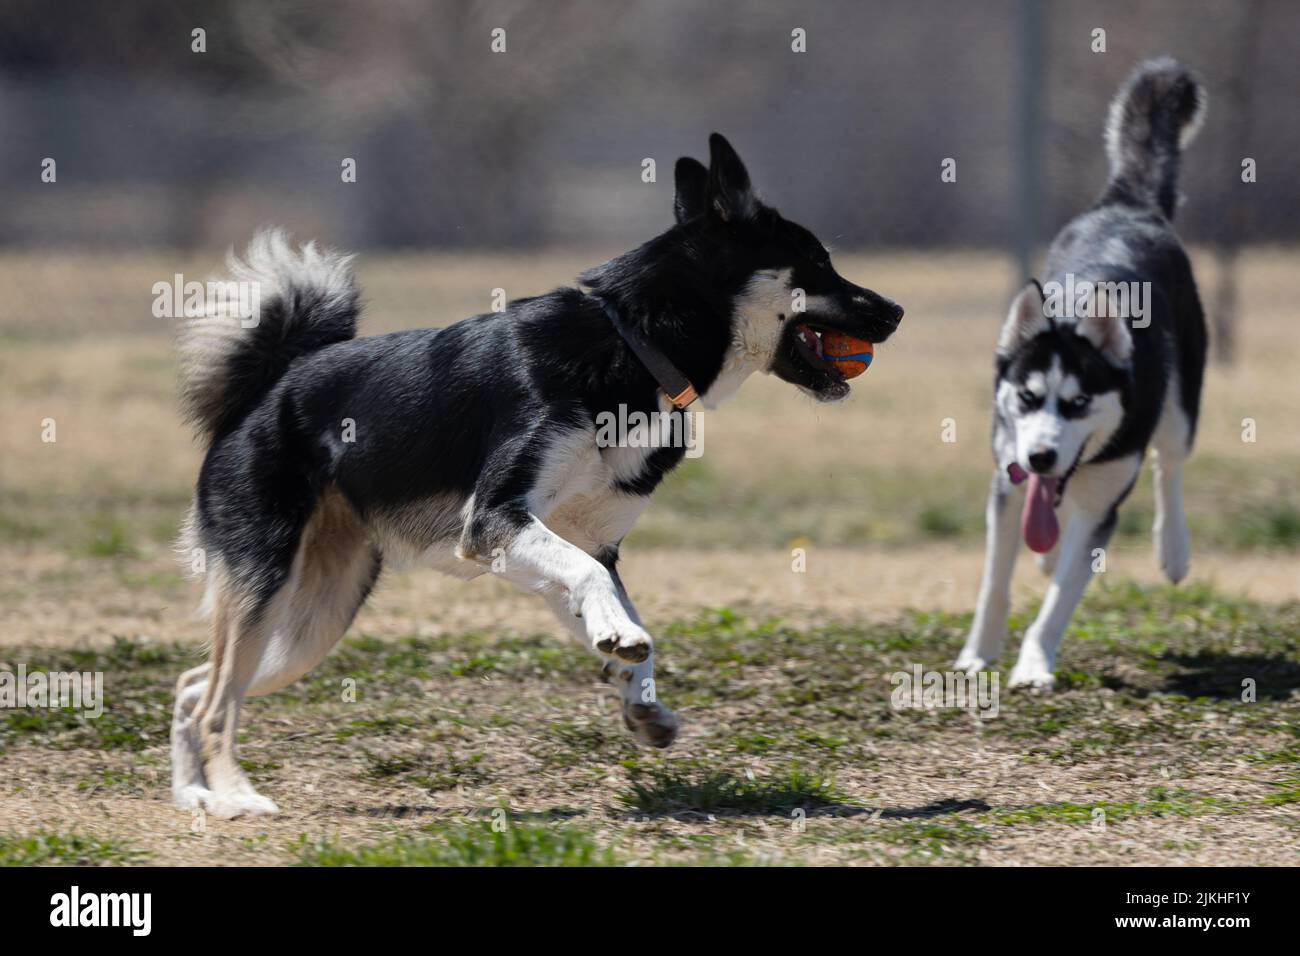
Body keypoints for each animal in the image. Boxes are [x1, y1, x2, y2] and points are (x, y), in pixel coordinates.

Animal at [956, 57, 1206, 686]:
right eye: (1026, 398)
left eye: (1077, 403)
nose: (1042, 456)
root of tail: (1127, 205)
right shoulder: (1007, 480)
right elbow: (994, 584)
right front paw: (977, 655)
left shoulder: (1101, 506)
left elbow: (1062, 597)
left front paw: (1033, 664)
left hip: (1180, 408)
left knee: (1171, 464)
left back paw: (1173, 549)